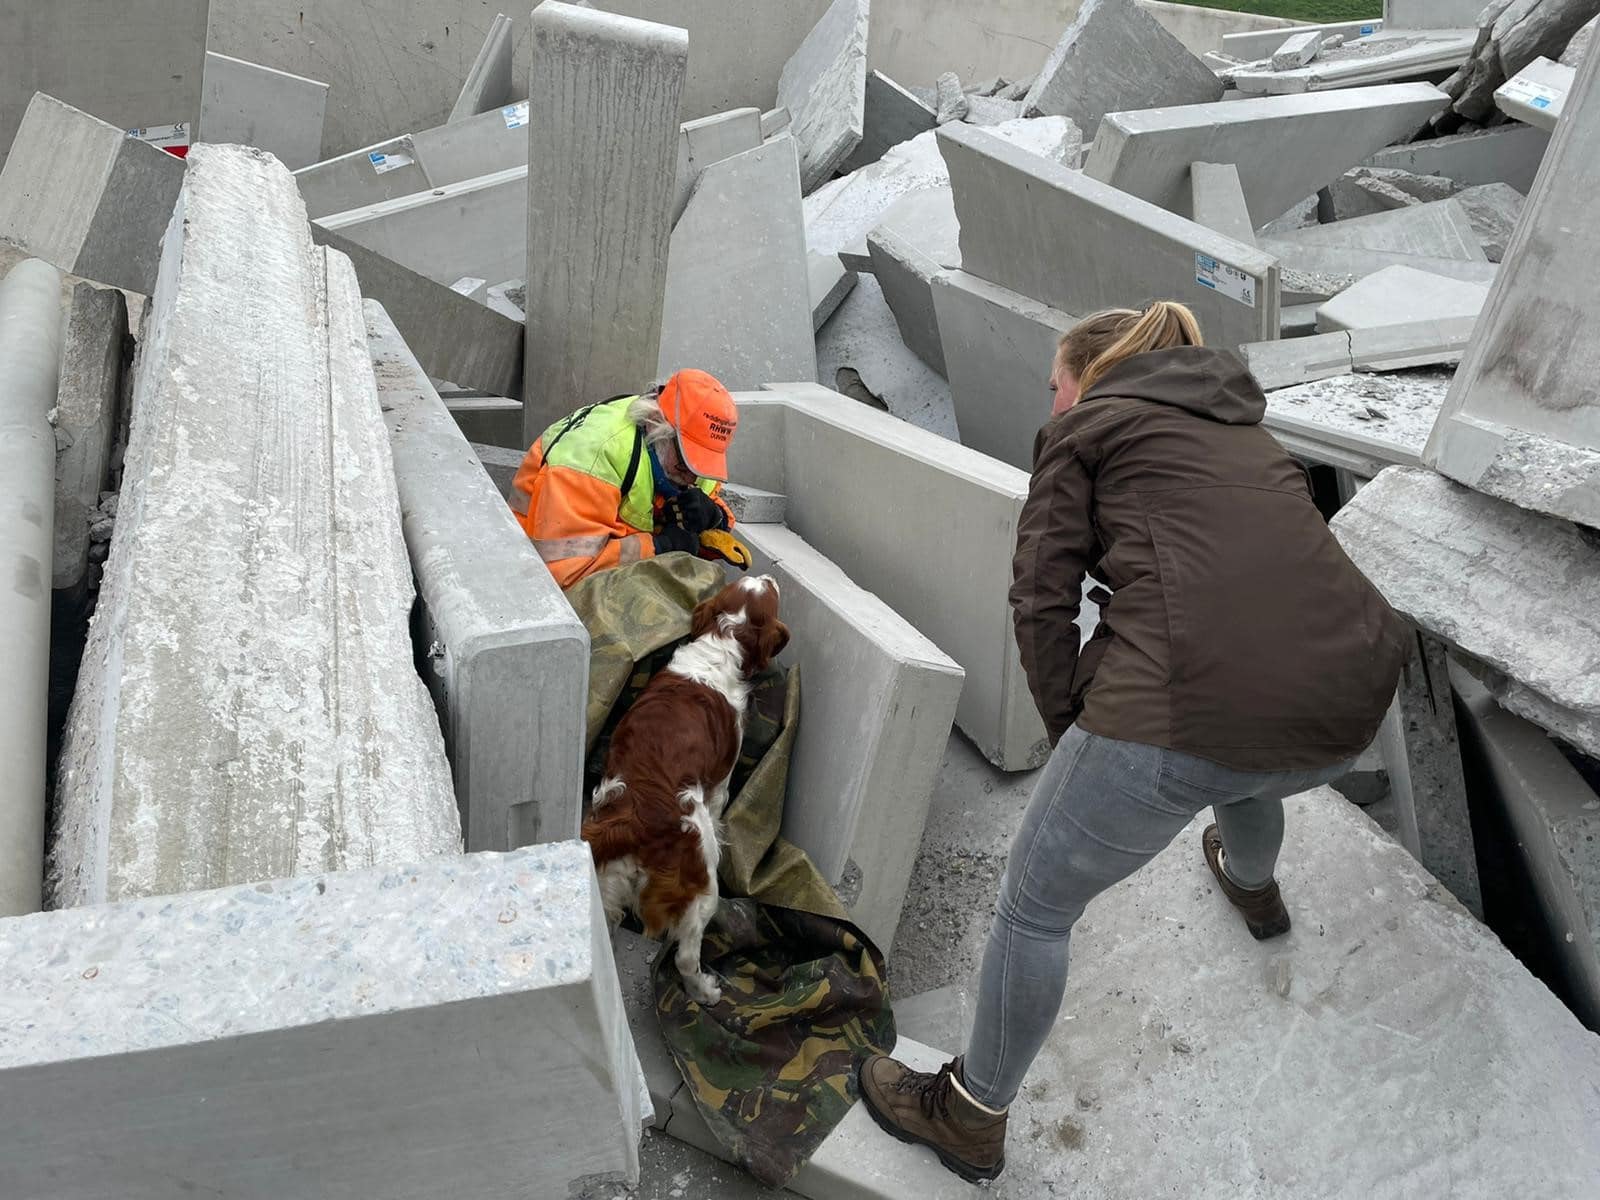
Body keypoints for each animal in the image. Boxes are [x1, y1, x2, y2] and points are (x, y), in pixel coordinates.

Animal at [585, 579, 790, 1011]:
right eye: (771, 594)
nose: (771, 578)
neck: (721, 639)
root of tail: (634, 818)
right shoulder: (720, 784)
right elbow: (719, 805)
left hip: (608, 884)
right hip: (703, 884)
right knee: (684, 955)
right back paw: (705, 992)